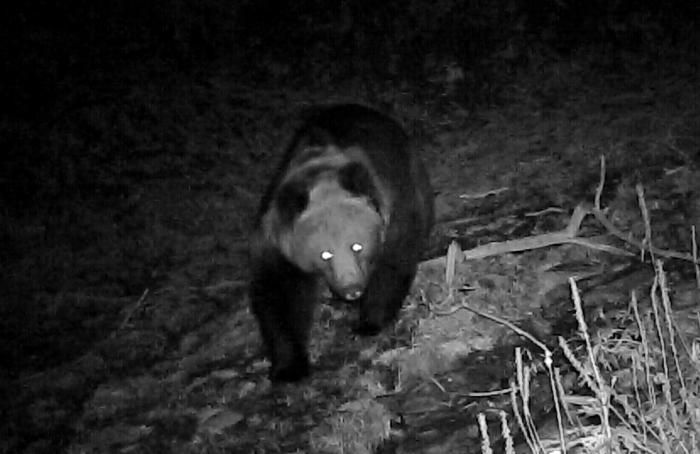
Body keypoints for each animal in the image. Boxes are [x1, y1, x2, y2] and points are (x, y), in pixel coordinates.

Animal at [246, 103, 432, 384]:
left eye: (357, 246)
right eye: (325, 254)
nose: (351, 289)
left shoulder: (395, 207)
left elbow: (393, 262)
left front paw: (370, 322)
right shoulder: (276, 240)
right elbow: (277, 293)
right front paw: (288, 366)